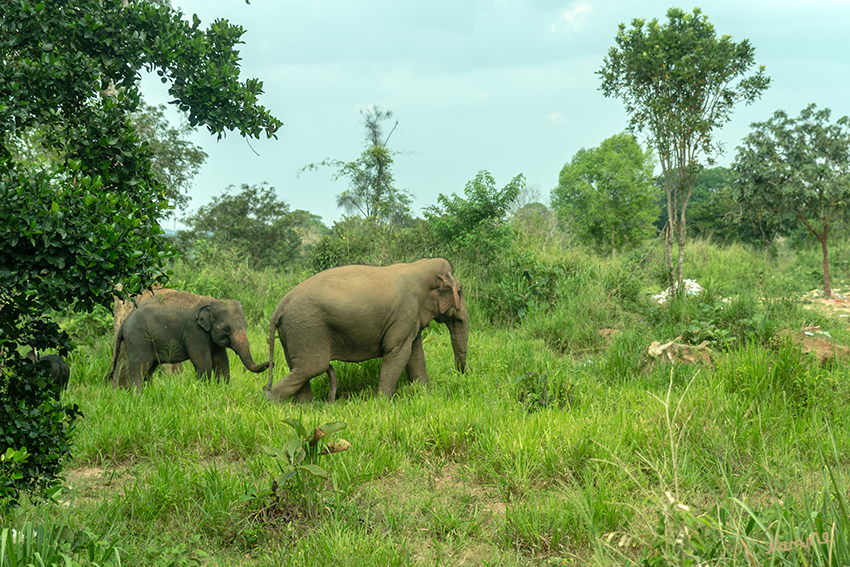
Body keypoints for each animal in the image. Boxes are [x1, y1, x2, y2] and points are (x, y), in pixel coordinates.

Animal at [108, 290, 268, 392]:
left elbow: (222, 361)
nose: (269, 363)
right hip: (138, 338)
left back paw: (149, 393)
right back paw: (139, 395)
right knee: (140, 366)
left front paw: (223, 390)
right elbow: (203, 361)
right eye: (226, 329)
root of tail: (126, 319)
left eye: (246, 325)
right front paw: (204, 391)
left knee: (150, 368)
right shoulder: (194, 331)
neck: (212, 302)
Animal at [264, 258, 468, 404]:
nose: (464, 374)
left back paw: (304, 408)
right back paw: (271, 403)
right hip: (306, 330)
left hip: (293, 334)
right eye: (460, 292)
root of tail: (279, 308)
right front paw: (383, 404)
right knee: (312, 367)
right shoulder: (404, 313)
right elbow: (397, 352)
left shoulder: (410, 319)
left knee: (299, 370)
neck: (419, 266)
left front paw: (424, 395)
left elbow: (415, 354)